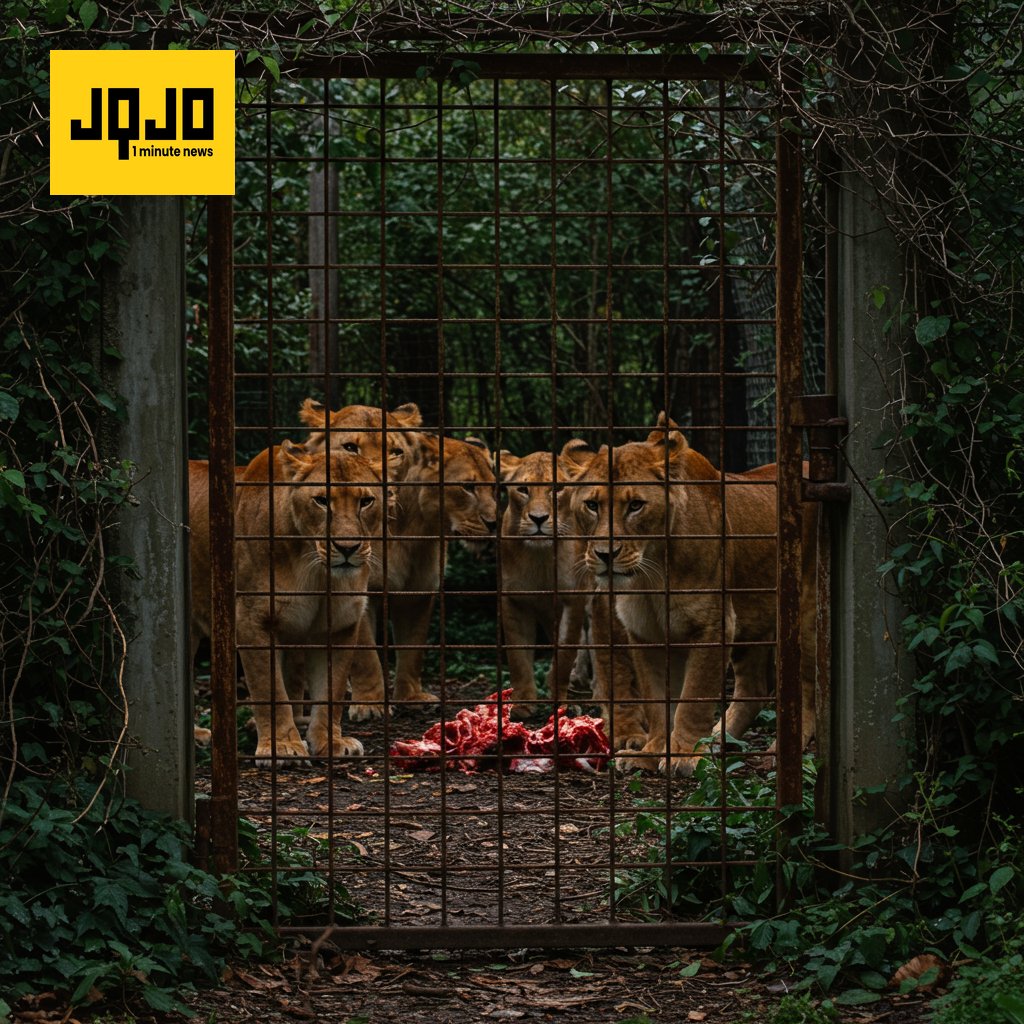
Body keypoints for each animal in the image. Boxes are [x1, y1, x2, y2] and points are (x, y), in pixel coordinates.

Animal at [232, 441, 388, 765]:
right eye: (322, 501)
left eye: (366, 501)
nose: (347, 547)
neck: (314, 569)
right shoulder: (252, 621)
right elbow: (269, 688)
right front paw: (282, 748)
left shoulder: (340, 625)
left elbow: (333, 690)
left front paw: (330, 743)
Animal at [497, 444, 588, 719]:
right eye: (523, 489)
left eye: (556, 489)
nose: (539, 519)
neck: (540, 558)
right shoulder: (513, 601)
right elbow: (518, 658)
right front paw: (523, 704)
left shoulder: (573, 599)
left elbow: (565, 652)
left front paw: (560, 702)